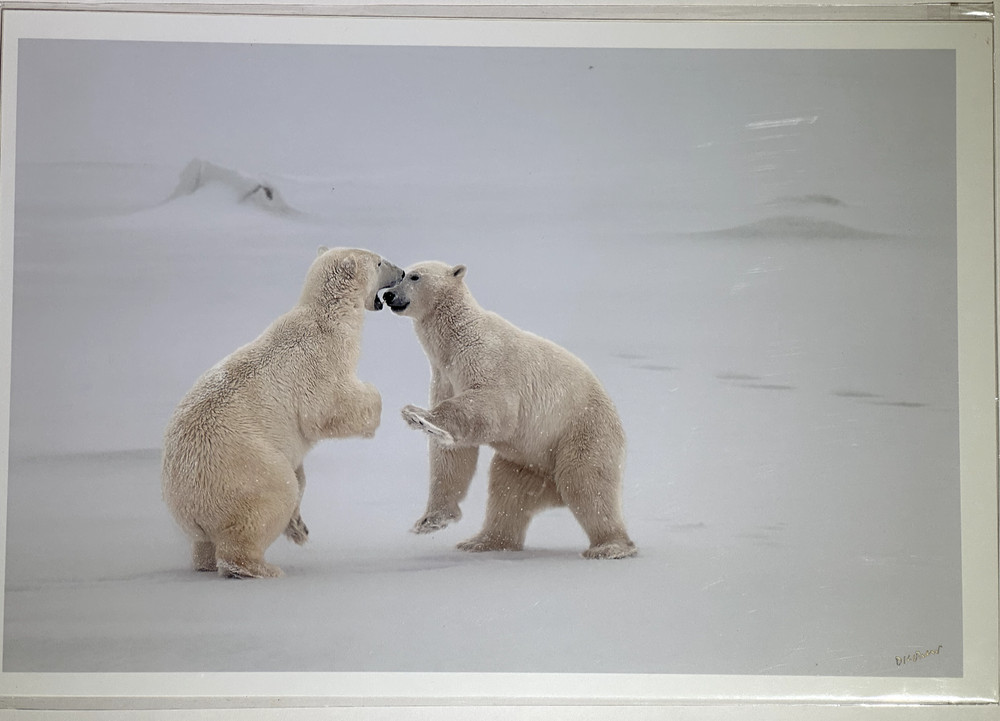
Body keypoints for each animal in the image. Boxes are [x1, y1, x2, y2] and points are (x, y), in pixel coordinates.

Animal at [161, 247, 404, 578]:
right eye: (379, 262)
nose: (402, 271)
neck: (327, 318)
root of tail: (185, 503)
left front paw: (299, 526)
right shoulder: (320, 363)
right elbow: (328, 410)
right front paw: (373, 404)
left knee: (205, 542)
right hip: (246, 469)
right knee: (271, 499)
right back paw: (260, 568)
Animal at [382, 261, 637, 559]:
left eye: (414, 276)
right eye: (401, 274)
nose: (388, 295)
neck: (456, 340)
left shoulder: (485, 359)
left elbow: (494, 407)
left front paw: (420, 417)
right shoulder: (444, 377)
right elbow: (454, 454)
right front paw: (431, 520)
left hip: (582, 431)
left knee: (587, 484)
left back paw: (610, 546)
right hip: (528, 462)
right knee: (508, 492)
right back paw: (482, 541)